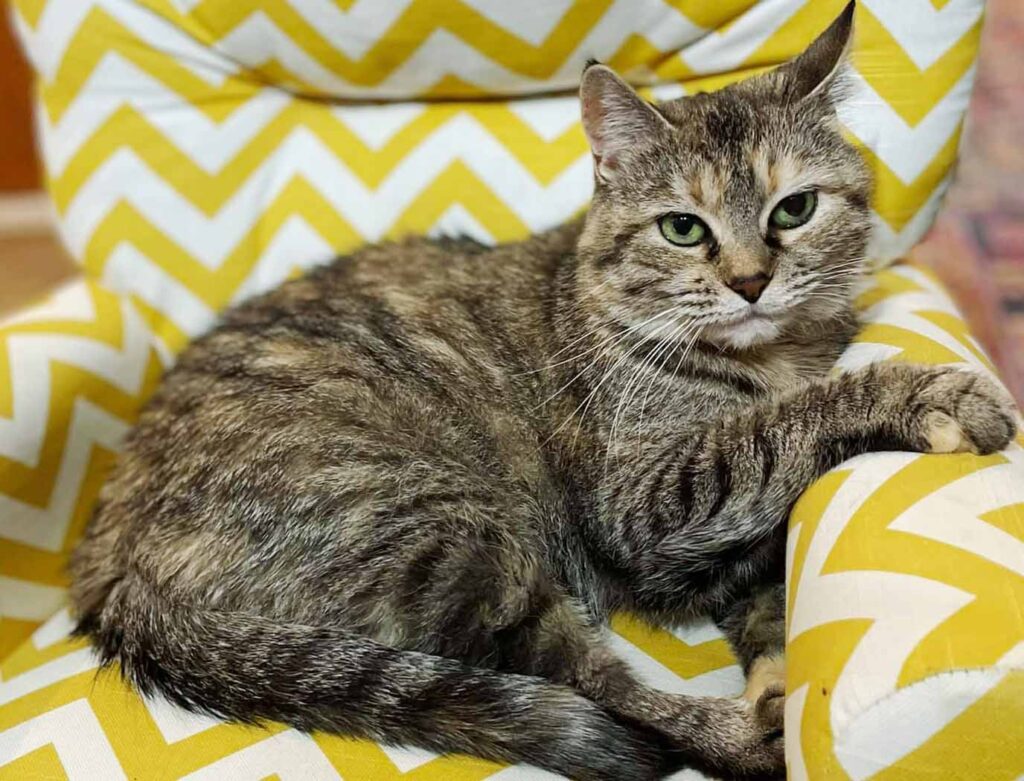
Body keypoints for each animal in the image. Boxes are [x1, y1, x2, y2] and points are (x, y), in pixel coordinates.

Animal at [72, 6, 1015, 781]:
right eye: (684, 228)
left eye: (794, 210)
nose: (750, 282)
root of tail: (113, 563)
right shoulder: (645, 497)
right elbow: (781, 423)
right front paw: (932, 393)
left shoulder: (719, 552)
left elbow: (764, 591)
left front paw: (777, 658)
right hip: (448, 525)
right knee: (591, 686)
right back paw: (736, 737)